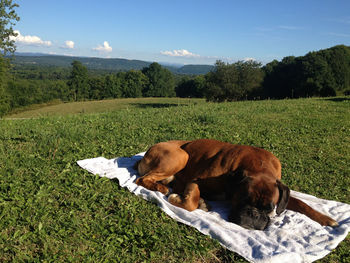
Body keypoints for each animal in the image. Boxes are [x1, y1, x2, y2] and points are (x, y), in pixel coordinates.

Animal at [135, 140, 340, 231]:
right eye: (242, 200)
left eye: (270, 208)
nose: (254, 215)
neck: (258, 166)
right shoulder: (194, 181)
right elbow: (190, 202)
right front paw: (181, 199)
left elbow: (302, 204)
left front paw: (325, 218)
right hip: (181, 156)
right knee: (141, 180)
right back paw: (162, 189)